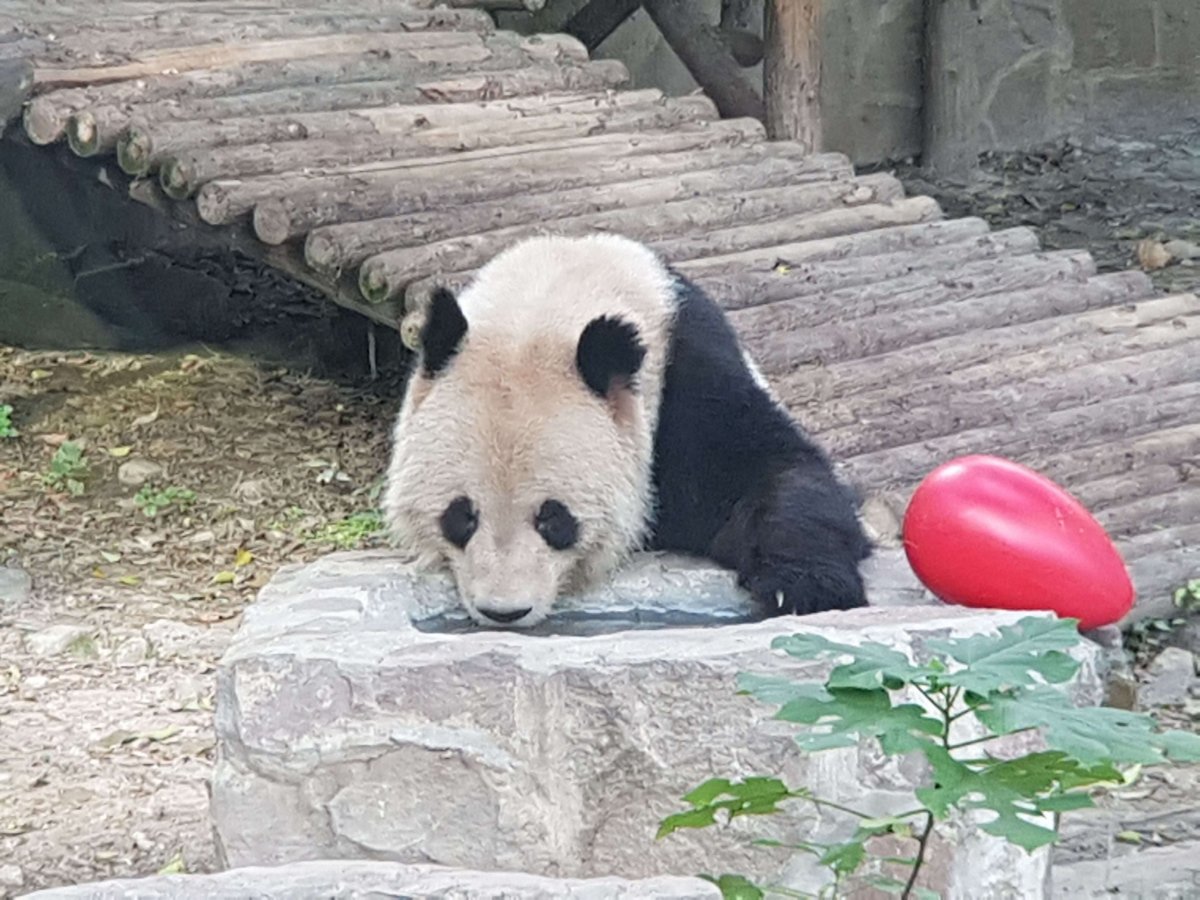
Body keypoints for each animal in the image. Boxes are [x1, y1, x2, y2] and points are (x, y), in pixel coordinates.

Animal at [383, 233, 872, 628]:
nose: (504, 611)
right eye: (461, 515)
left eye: (554, 518)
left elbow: (773, 467)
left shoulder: (688, 382)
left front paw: (805, 586)